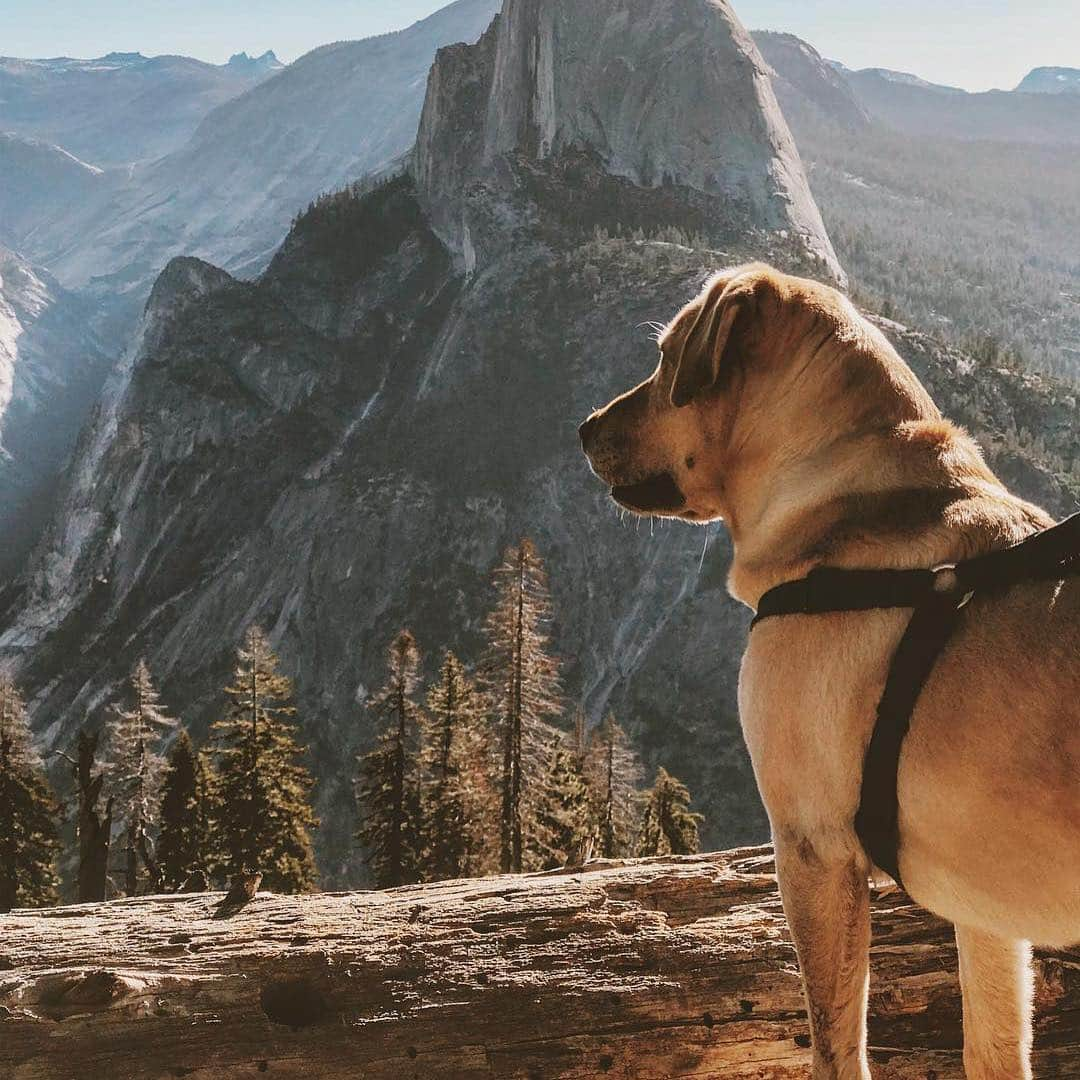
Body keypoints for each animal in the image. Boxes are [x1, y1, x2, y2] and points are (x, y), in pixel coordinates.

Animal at [578, 263, 1080, 1080]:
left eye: (665, 357)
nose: (584, 428)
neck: (846, 512)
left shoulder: (812, 849)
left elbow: (835, 1042)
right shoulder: (985, 908)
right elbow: (993, 1045)